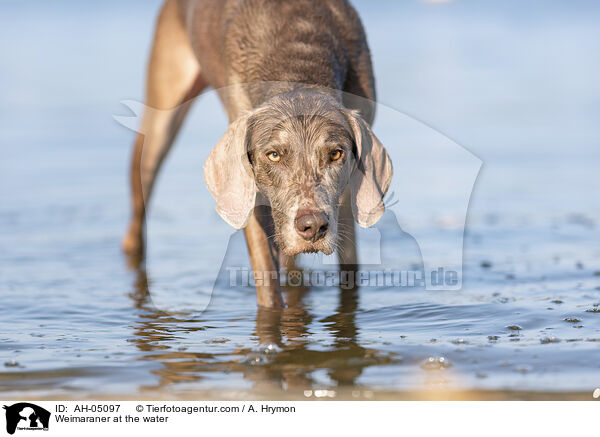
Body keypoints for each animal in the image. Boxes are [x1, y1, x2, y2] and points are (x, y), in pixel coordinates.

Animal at [122, 0, 394, 306]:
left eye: (335, 154)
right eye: (273, 155)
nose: (312, 226)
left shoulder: (346, 193)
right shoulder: (245, 188)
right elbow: (267, 279)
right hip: (161, 113)